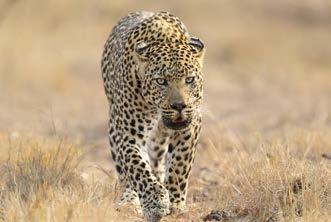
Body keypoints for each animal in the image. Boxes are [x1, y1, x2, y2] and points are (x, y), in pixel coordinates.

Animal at [100, 11, 206, 221]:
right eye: (161, 81)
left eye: (189, 79)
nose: (179, 106)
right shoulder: (127, 134)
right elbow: (138, 168)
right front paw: (155, 203)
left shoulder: (190, 127)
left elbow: (179, 166)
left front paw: (175, 202)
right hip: (114, 128)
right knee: (126, 173)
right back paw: (129, 199)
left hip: (158, 141)